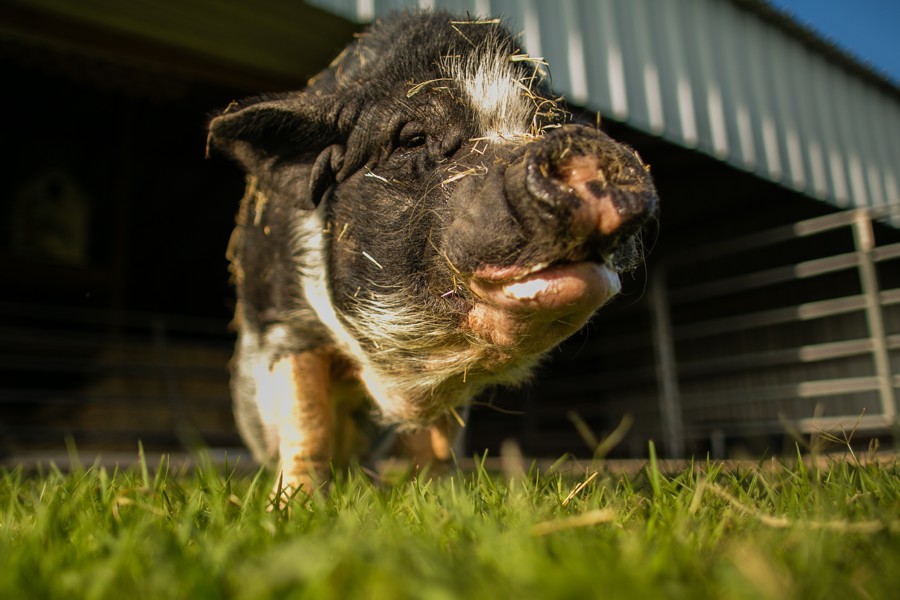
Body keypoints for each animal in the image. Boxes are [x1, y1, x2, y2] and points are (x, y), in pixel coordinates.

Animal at [207, 12, 658, 497]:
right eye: (412, 138)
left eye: (547, 125)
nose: (583, 148)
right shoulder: (285, 324)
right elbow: (307, 421)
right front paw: (295, 506)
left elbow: (441, 435)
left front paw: (444, 499)